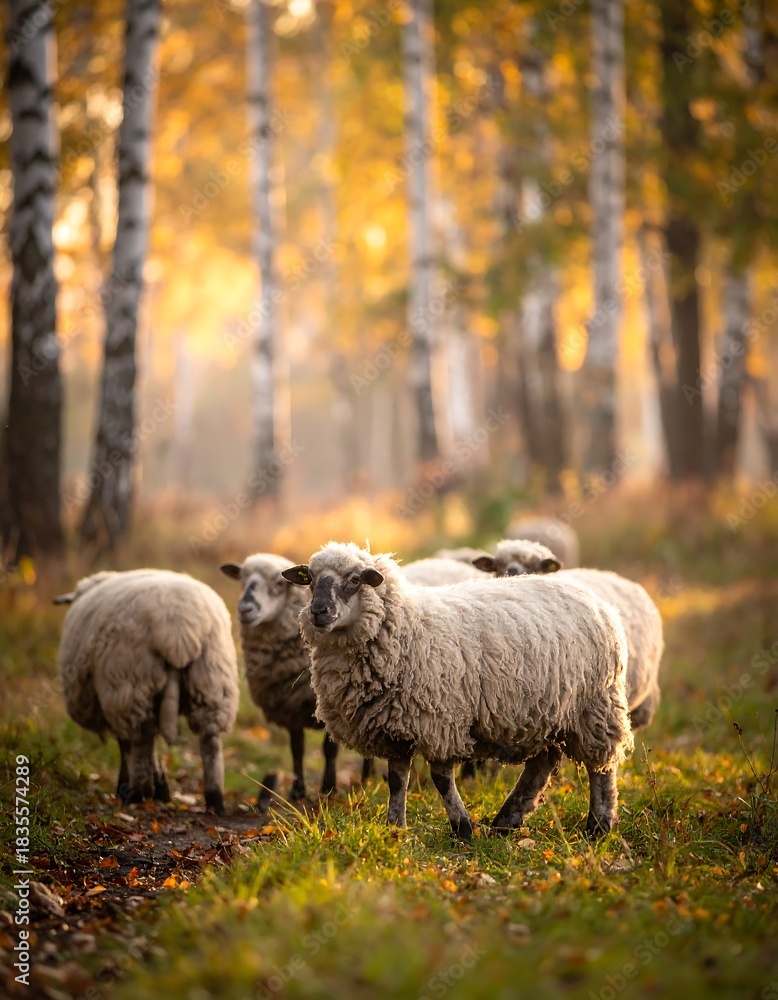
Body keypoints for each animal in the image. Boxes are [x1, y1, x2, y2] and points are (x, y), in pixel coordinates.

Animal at [54, 569, 239, 814]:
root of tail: (177, 629)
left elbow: (127, 745)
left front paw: (134, 787)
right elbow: (155, 746)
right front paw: (161, 789)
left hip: (130, 681)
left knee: (140, 738)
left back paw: (136, 794)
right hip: (211, 677)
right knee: (209, 739)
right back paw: (214, 799)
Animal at [220, 554, 373, 808]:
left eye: (279, 584)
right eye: (242, 579)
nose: (245, 609)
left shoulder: (330, 704)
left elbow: (329, 749)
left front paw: (328, 789)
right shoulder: (290, 705)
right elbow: (297, 749)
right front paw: (297, 792)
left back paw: (367, 781)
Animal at [281, 542, 633, 840]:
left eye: (355, 580)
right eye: (310, 580)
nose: (318, 611)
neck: (406, 629)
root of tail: (594, 599)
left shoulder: (440, 720)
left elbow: (440, 779)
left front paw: (461, 827)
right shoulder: (395, 727)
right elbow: (397, 780)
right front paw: (396, 828)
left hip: (594, 706)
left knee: (601, 767)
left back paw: (599, 825)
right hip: (548, 711)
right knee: (542, 764)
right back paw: (507, 820)